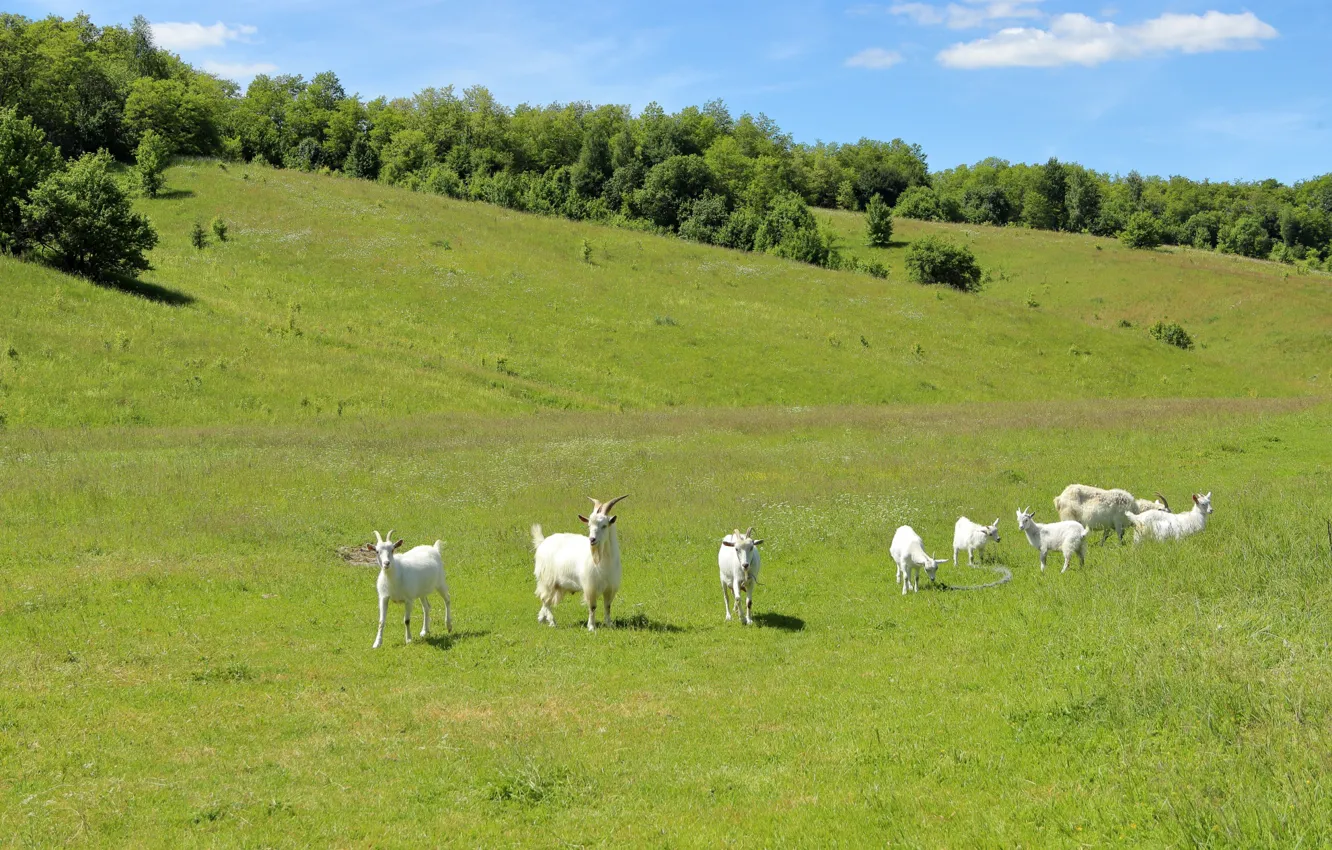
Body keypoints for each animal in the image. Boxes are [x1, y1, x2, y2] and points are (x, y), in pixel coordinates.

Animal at [532, 492, 626, 634]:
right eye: (589, 525)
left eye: (604, 525)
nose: (592, 540)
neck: (604, 560)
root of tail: (542, 542)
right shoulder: (590, 586)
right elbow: (592, 607)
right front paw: (591, 627)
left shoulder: (610, 587)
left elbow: (607, 606)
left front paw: (609, 624)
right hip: (547, 580)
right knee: (545, 599)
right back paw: (552, 622)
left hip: (557, 585)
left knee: (546, 600)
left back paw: (542, 618)